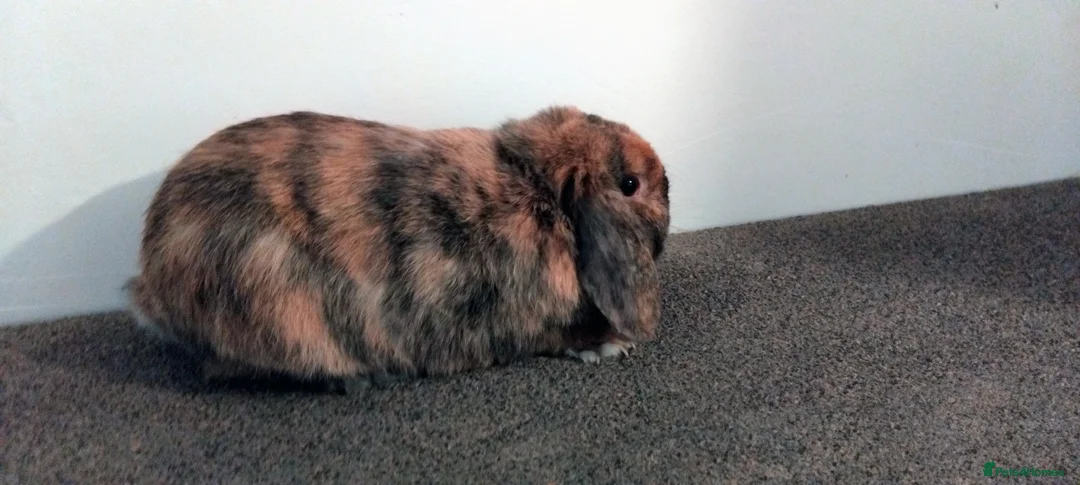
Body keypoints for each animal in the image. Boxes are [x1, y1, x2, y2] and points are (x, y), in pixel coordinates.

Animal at [125, 105, 671, 391]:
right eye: (630, 184)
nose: (670, 186)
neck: (537, 190)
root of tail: (151, 280)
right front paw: (608, 345)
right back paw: (359, 380)